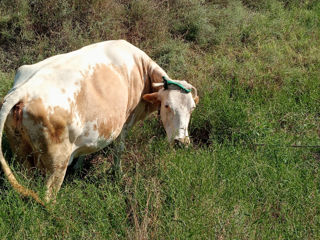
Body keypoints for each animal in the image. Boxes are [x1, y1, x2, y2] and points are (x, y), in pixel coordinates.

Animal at [0, 39, 199, 204]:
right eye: (167, 105)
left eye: (192, 108)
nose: (181, 142)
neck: (142, 71)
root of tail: (24, 90)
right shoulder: (126, 121)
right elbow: (119, 150)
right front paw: (118, 174)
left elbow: (88, 148)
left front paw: (79, 166)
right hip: (57, 163)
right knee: (47, 196)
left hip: (21, 153)